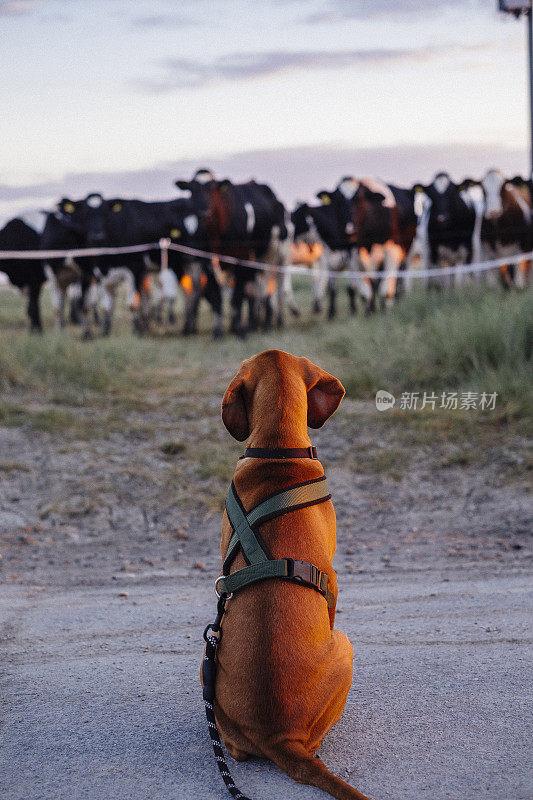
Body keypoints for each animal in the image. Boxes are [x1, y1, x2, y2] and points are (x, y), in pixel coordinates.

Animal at [175, 167, 290, 336]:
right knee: (255, 291)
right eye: (191, 190)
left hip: (273, 256)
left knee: (270, 289)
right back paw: (254, 323)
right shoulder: (207, 261)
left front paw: (238, 330)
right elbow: (217, 296)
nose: (203, 212)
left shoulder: (241, 258)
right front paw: (218, 331)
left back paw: (267, 323)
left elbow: (237, 296)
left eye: (212, 189)